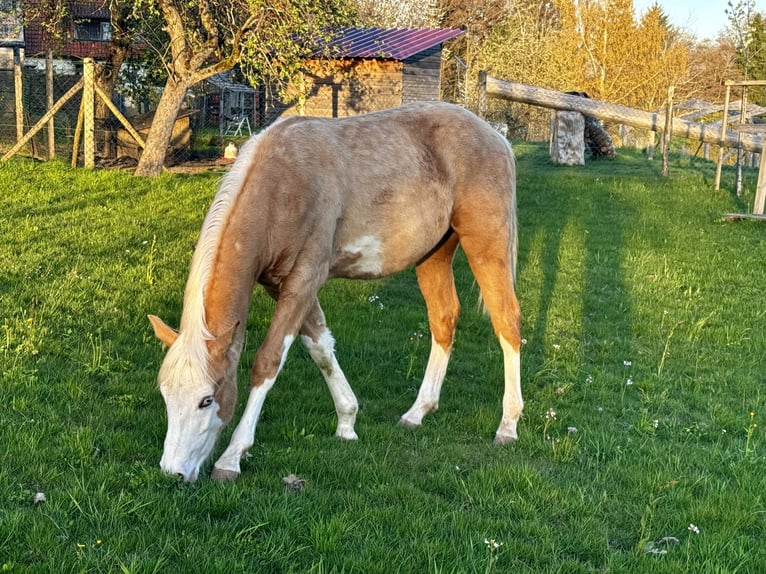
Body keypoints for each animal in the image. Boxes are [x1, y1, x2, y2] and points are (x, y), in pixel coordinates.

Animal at [148, 101, 522, 482]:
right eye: (165, 394)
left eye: (207, 400)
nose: (172, 472)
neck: (282, 184)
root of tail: (495, 135)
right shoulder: (284, 285)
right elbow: (320, 347)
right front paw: (347, 421)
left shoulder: (303, 281)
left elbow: (269, 361)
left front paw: (232, 457)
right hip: (433, 255)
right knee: (443, 319)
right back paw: (417, 412)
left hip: (486, 244)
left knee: (506, 320)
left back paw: (508, 425)